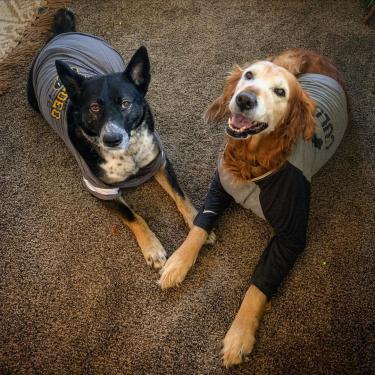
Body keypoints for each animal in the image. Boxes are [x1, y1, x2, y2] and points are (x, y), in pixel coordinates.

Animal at [26, 9, 214, 270]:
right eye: (94, 108)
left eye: (125, 103)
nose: (112, 139)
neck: (128, 152)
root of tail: (62, 35)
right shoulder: (100, 189)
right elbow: (134, 217)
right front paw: (153, 249)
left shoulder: (159, 161)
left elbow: (180, 195)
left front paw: (198, 224)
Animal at [158, 49, 350, 368]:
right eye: (249, 75)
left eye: (280, 92)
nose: (245, 99)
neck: (252, 160)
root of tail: (316, 55)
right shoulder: (220, 187)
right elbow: (199, 225)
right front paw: (177, 262)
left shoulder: (291, 238)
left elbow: (258, 286)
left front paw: (239, 334)